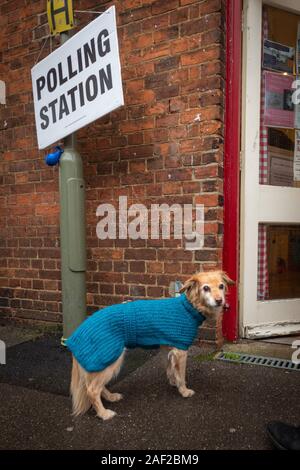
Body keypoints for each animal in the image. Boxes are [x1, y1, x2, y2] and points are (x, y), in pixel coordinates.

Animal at [67, 270, 234, 420]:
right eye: (206, 288)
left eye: (221, 286)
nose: (220, 301)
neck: (189, 307)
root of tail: (78, 332)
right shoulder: (181, 350)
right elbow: (181, 374)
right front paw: (184, 390)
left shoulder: (170, 348)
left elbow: (171, 369)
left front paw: (173, 383)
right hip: (110, 358)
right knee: (92, 390)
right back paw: (104, 413)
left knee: (96, 387)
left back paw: (111, 397)